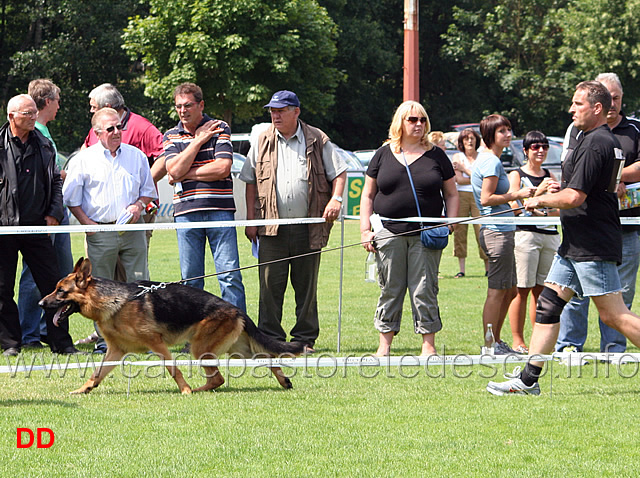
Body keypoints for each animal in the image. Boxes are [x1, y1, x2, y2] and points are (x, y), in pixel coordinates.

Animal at [40, 260, 304, 394]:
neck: (115, 301)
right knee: (266, 358)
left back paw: (195, 390)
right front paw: (84, 389)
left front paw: (184, 390)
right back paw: (284, 381)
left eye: (60, 291)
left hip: (201, 348)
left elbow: (173, 369)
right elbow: (97, 374)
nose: (41, 303)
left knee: (218, 378)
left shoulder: (157, 343)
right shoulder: (115, 351)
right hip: (237, 350)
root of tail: (237, 309)